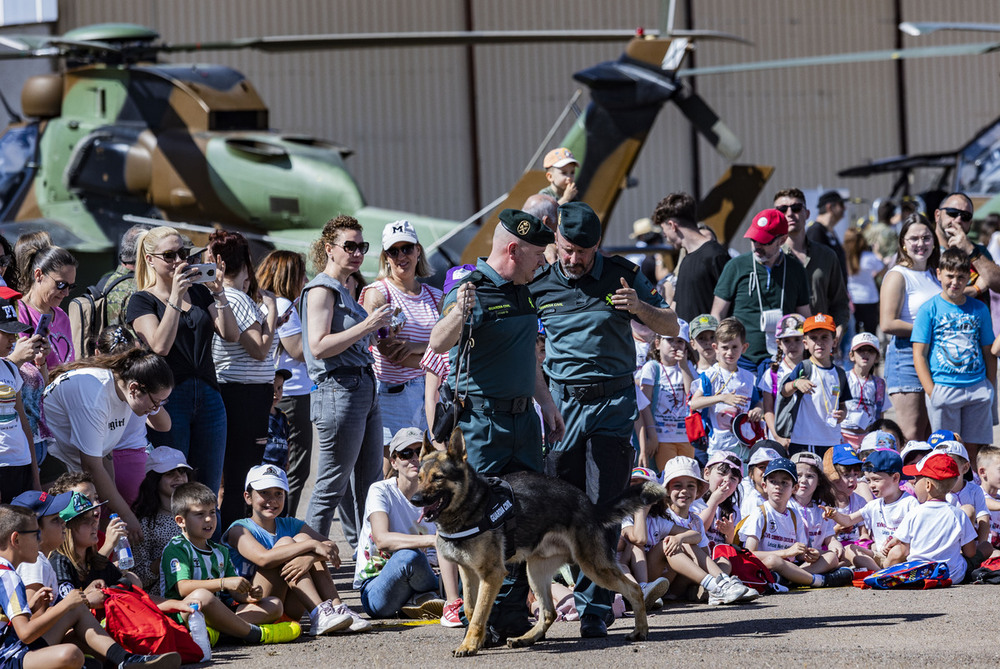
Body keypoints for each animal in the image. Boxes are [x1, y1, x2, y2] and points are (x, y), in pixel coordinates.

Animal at [410, 430, 668, 656]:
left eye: (438, 478)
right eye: (419, 478)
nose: (415, 499)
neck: (472, 506)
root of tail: (589, 505)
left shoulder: (491, 575)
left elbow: (479, 614)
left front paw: (469, 645)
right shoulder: (469, 573)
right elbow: (472, 609)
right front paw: (477, 641)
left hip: (594, 567)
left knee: (634, 589)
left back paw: (640, 631)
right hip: (535, 571)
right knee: (549, 612)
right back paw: (526, 638)